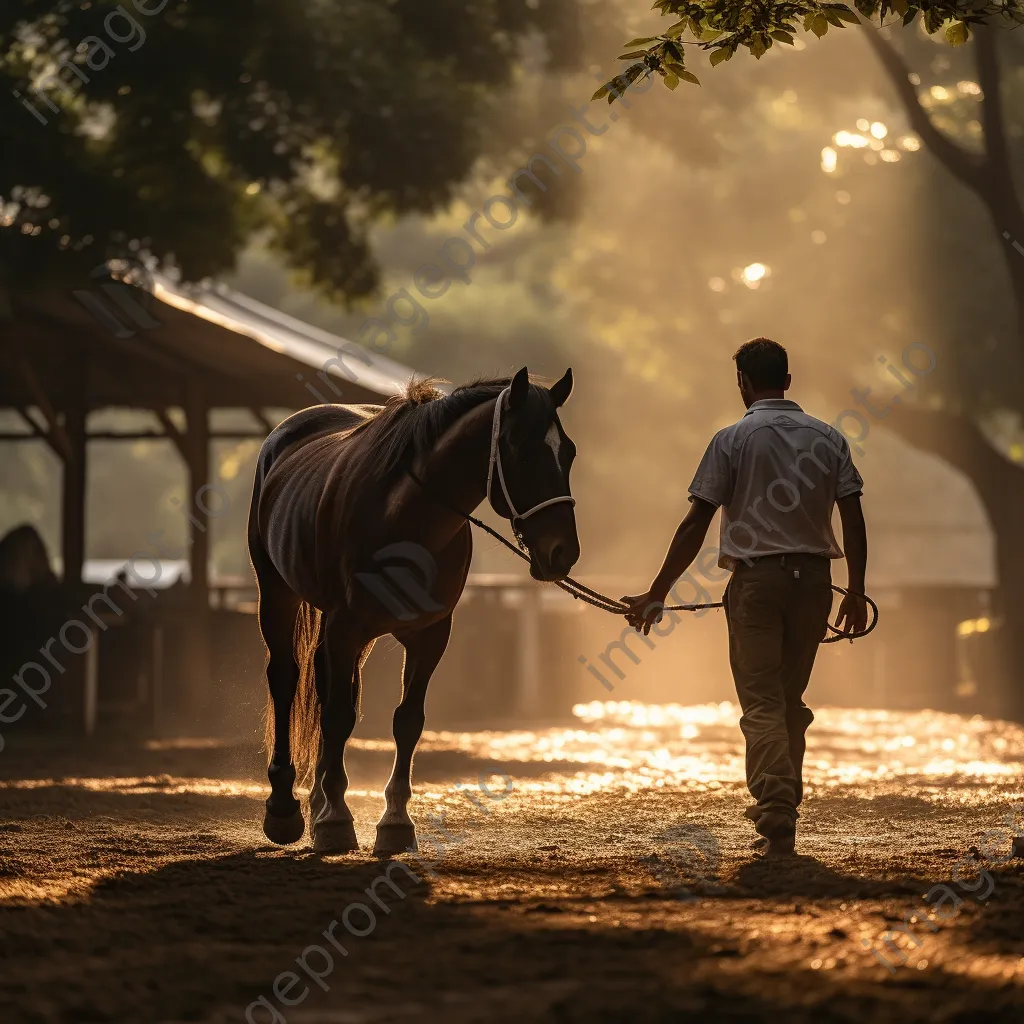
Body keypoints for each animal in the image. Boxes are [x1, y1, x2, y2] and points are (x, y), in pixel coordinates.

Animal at [248, 364, 581, 851]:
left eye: (568, 452)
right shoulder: (346, 625)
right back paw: (286, 809)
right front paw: (336, 821)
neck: (404, 518)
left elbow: (406, 721)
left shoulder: (429, 635)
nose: (563, 553)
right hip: (277, 594)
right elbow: (337, 716)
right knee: (286, 679)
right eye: (521, 450)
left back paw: (319, 802)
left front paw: (393, 822)